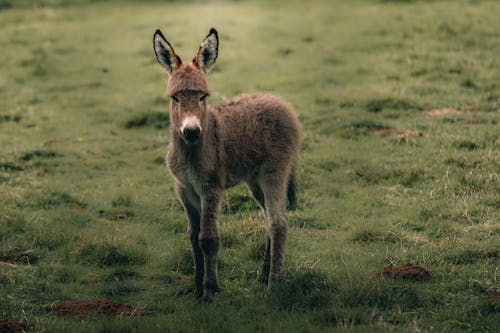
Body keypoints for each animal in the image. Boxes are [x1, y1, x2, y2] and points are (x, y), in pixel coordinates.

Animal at [152, 27, 300, 300]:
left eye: (203, 97)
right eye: (175, 98)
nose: (191, 132)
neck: (192, 151)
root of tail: (280, 102)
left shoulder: (210, 189)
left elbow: (208, 239)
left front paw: (209, 292)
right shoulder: (184, 189)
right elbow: (193, 236)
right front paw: (197, 287)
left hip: (275, 172)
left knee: (279, 223)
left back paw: (274, 285)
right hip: (255, 181)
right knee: (268, 219)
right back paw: (263, 274)